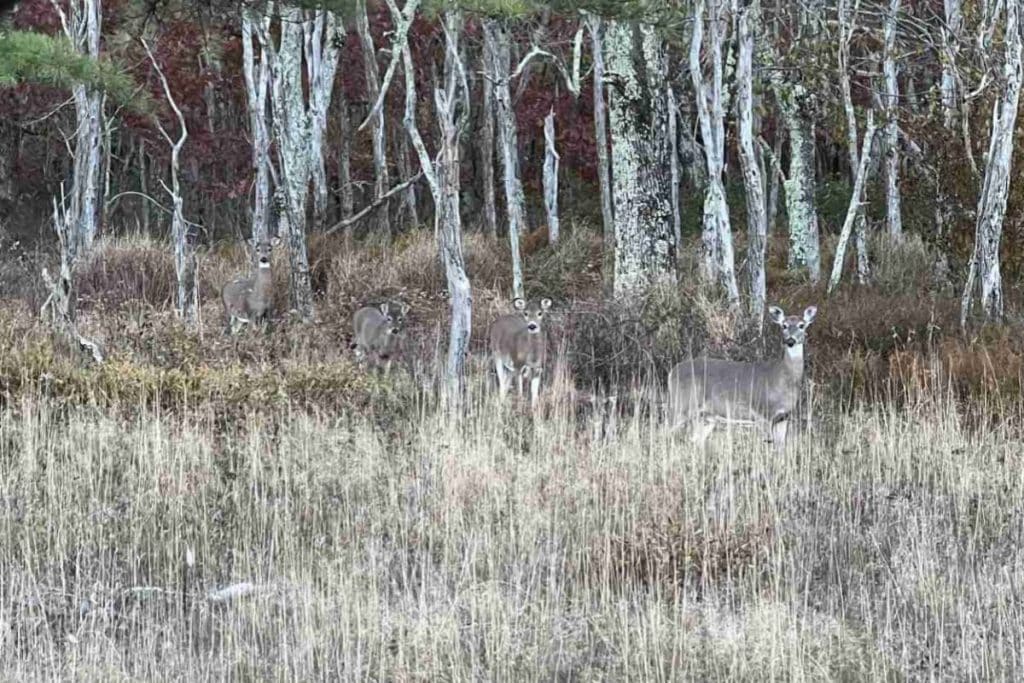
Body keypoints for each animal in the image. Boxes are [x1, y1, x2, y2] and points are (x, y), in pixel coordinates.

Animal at [667, 305, 817, 451]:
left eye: (802, 325)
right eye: (784, 325)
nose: (790, 340)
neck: (783, 377)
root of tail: (672, 372)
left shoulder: (783, 416)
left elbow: (780, 449)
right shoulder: (762, 413)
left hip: (706, 417)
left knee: (695, 440)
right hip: (681, 404)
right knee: (667, 432)